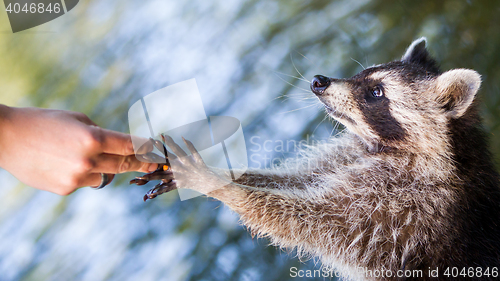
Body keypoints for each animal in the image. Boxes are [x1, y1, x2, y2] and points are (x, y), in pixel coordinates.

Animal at [132, 38, 500, 278]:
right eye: (362, 74)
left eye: (376, 92)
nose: (319, 81)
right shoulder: (352, 156)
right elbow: (300, 181)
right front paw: (223, 173)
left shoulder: (408, 208)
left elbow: (312, 221)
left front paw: (215, 184)